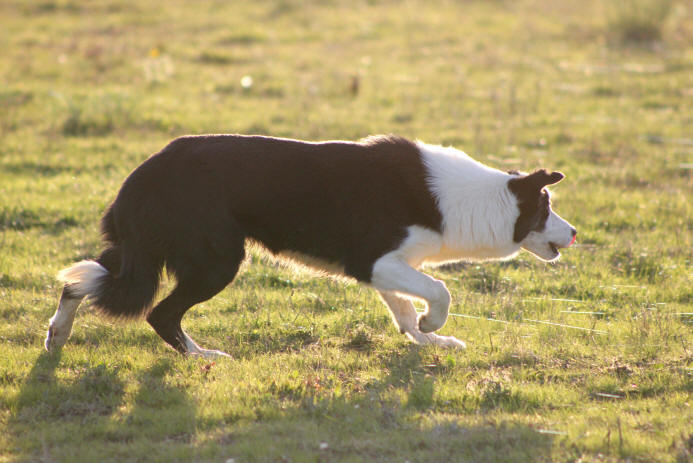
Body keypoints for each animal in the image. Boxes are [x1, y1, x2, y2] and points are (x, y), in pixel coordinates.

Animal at [42, 135, 572, 358]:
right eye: (546, 208)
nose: (574, 234)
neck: (472, 199)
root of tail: (142, 175)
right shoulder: (372, 260)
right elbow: (439, 291)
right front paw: (433, 326)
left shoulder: (391, 266)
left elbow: (403, 313)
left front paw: (430, 341)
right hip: (217, 260)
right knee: (159, 312)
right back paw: (202, 356)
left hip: (138, 253)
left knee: (82, 280)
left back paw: (57, 337)